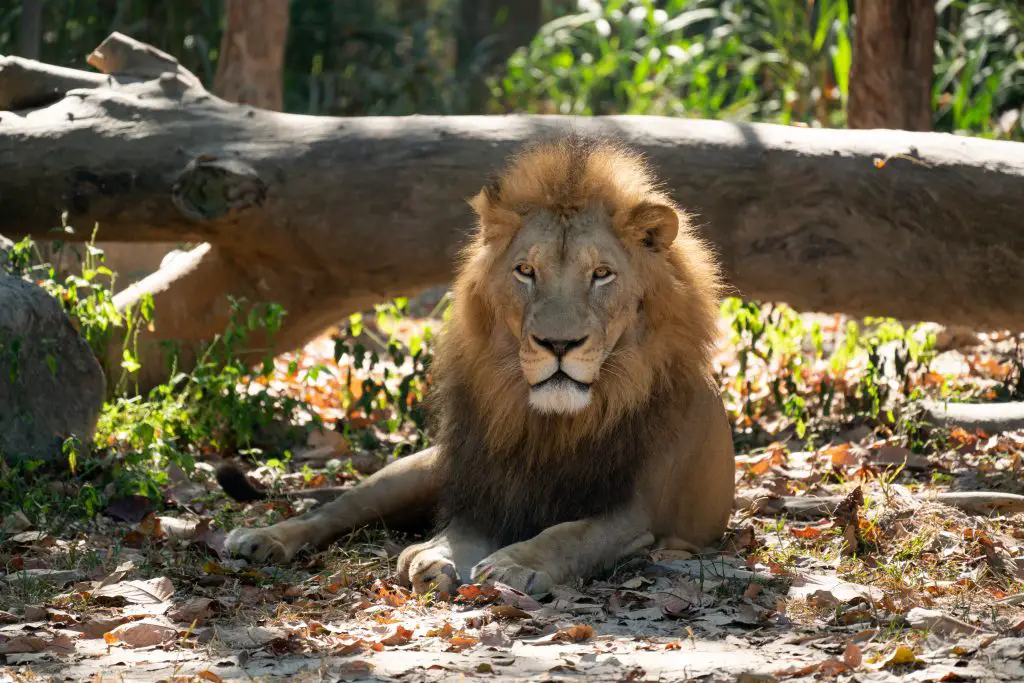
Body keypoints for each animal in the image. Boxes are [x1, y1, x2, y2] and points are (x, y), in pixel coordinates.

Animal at [223, 133, 736, 598]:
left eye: (602, 274)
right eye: (525, 271)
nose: (558, 343)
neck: (553, 423)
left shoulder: (635, 511)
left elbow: (569, 534)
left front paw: (515, 564)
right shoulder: (487, 491)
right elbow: (459, 532)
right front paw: (434, 555)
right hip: (419, 471)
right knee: (334, 510)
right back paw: (261, 538)